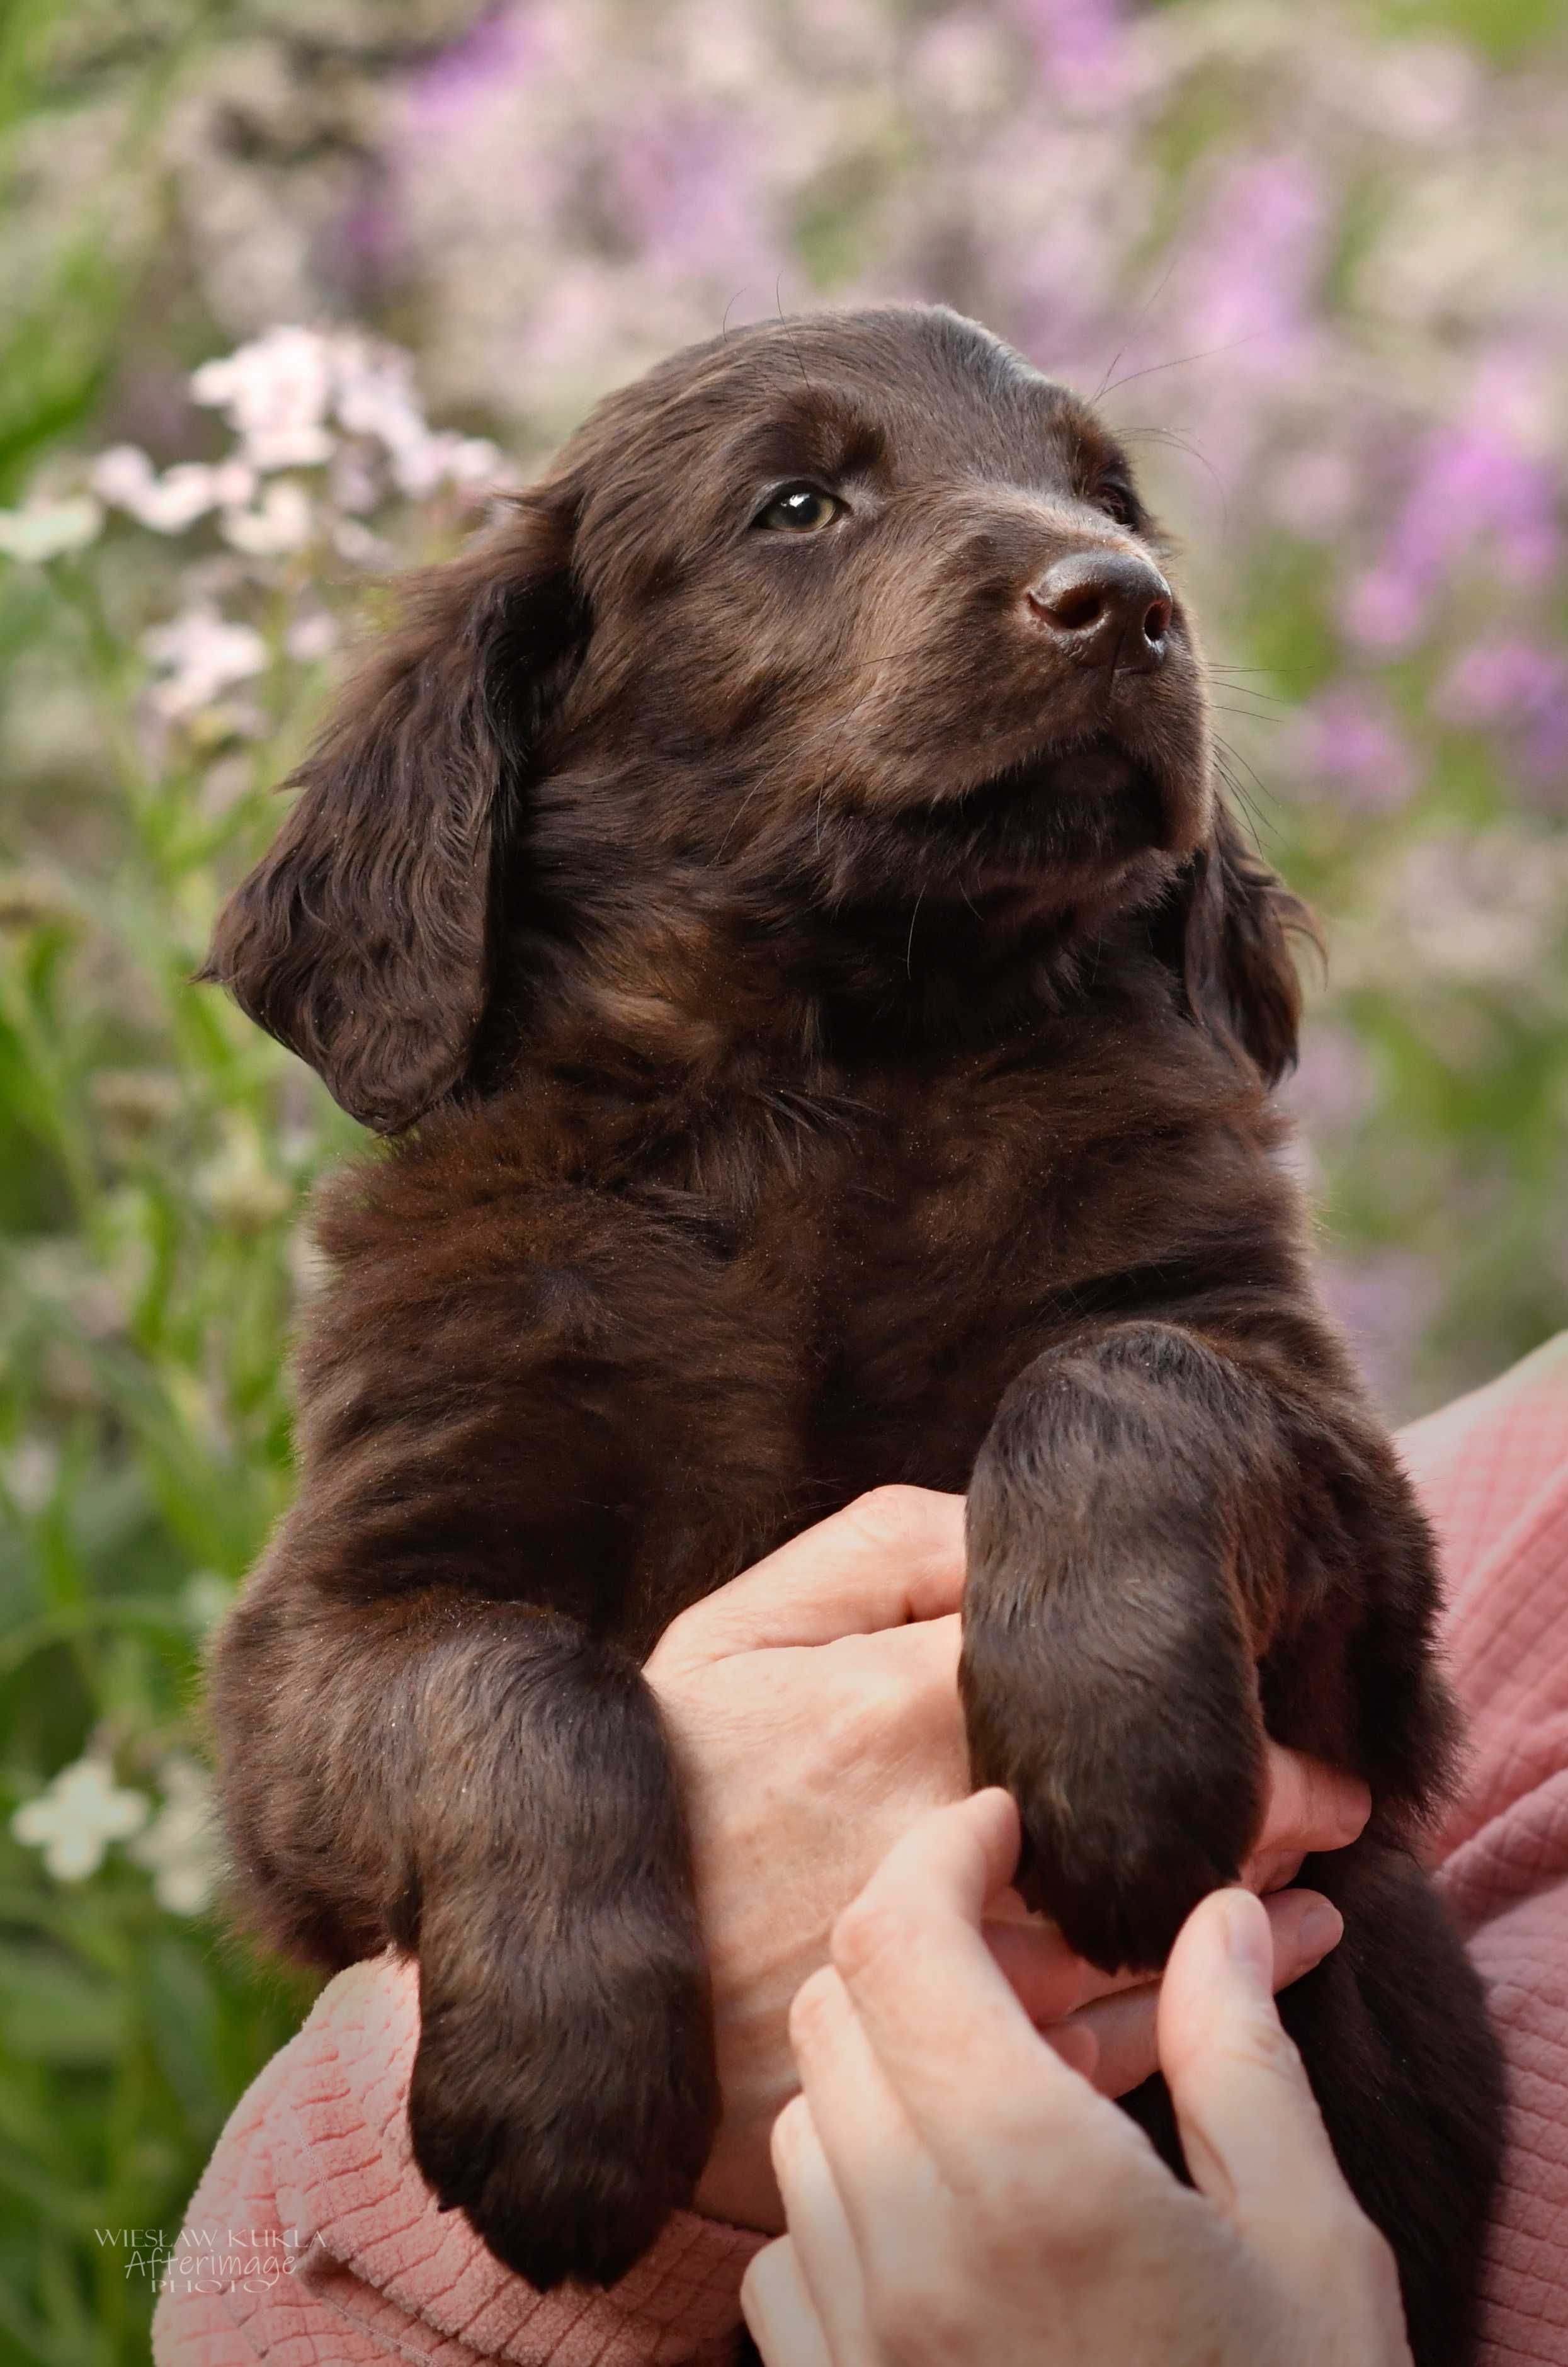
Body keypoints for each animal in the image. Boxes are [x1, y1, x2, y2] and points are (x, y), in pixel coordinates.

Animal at [202, 305, 1504, 2357]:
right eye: (797, 505)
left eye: (1109, 495)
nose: (1125, 604)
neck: (836, 1068)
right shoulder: (332, 1617)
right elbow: (512, 1679)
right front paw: (559, 2100)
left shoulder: (1362, 1603)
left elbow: (1119, 1371)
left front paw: (1119, 1754)